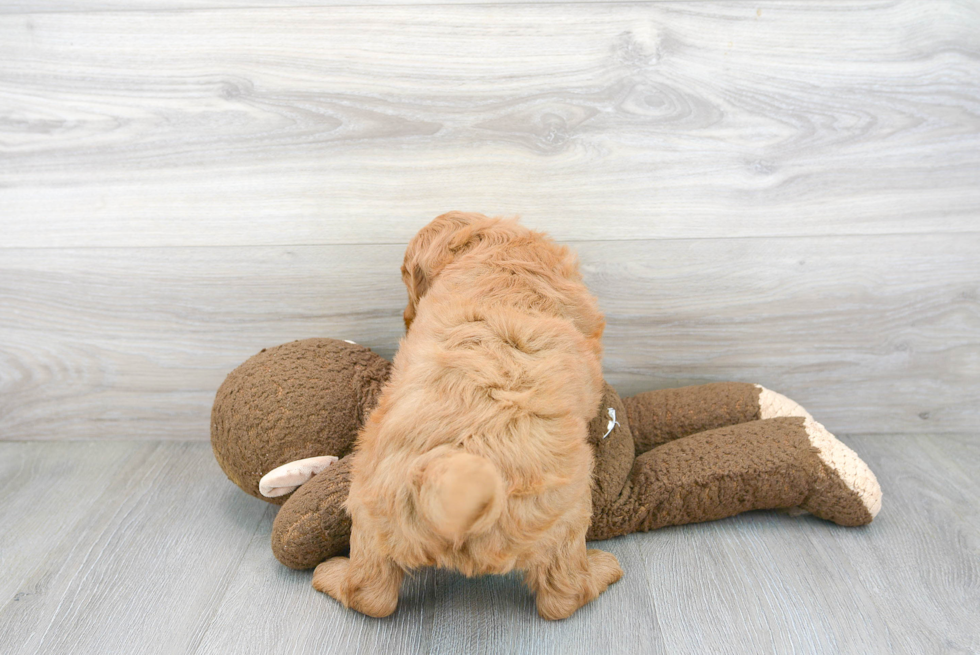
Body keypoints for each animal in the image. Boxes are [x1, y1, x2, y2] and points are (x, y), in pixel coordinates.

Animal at [314, 211, 620, 620]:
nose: (406, 317)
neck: (498, 255)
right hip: (567, 516)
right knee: (562, 596)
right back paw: (604, 570)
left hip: (370, 507)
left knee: (373, 597)